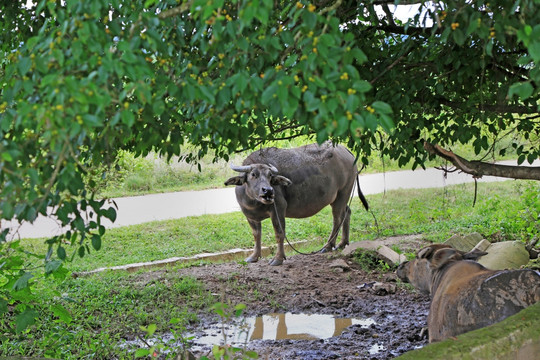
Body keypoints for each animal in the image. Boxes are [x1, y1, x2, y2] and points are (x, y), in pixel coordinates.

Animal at [223, 142, 368, 266]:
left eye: (270, 175)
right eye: (253, 174)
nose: (268, 191)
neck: (253, 201)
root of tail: (347, 151)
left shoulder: (278, 209)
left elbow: (279, 233)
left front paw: (278, 259)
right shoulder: (250, 216)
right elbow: (256, 235)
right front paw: (254, 257)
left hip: (343, 193)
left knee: (337, 218)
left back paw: (328, 246)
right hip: (338, 198)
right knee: (347, 212)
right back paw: (343, 243)